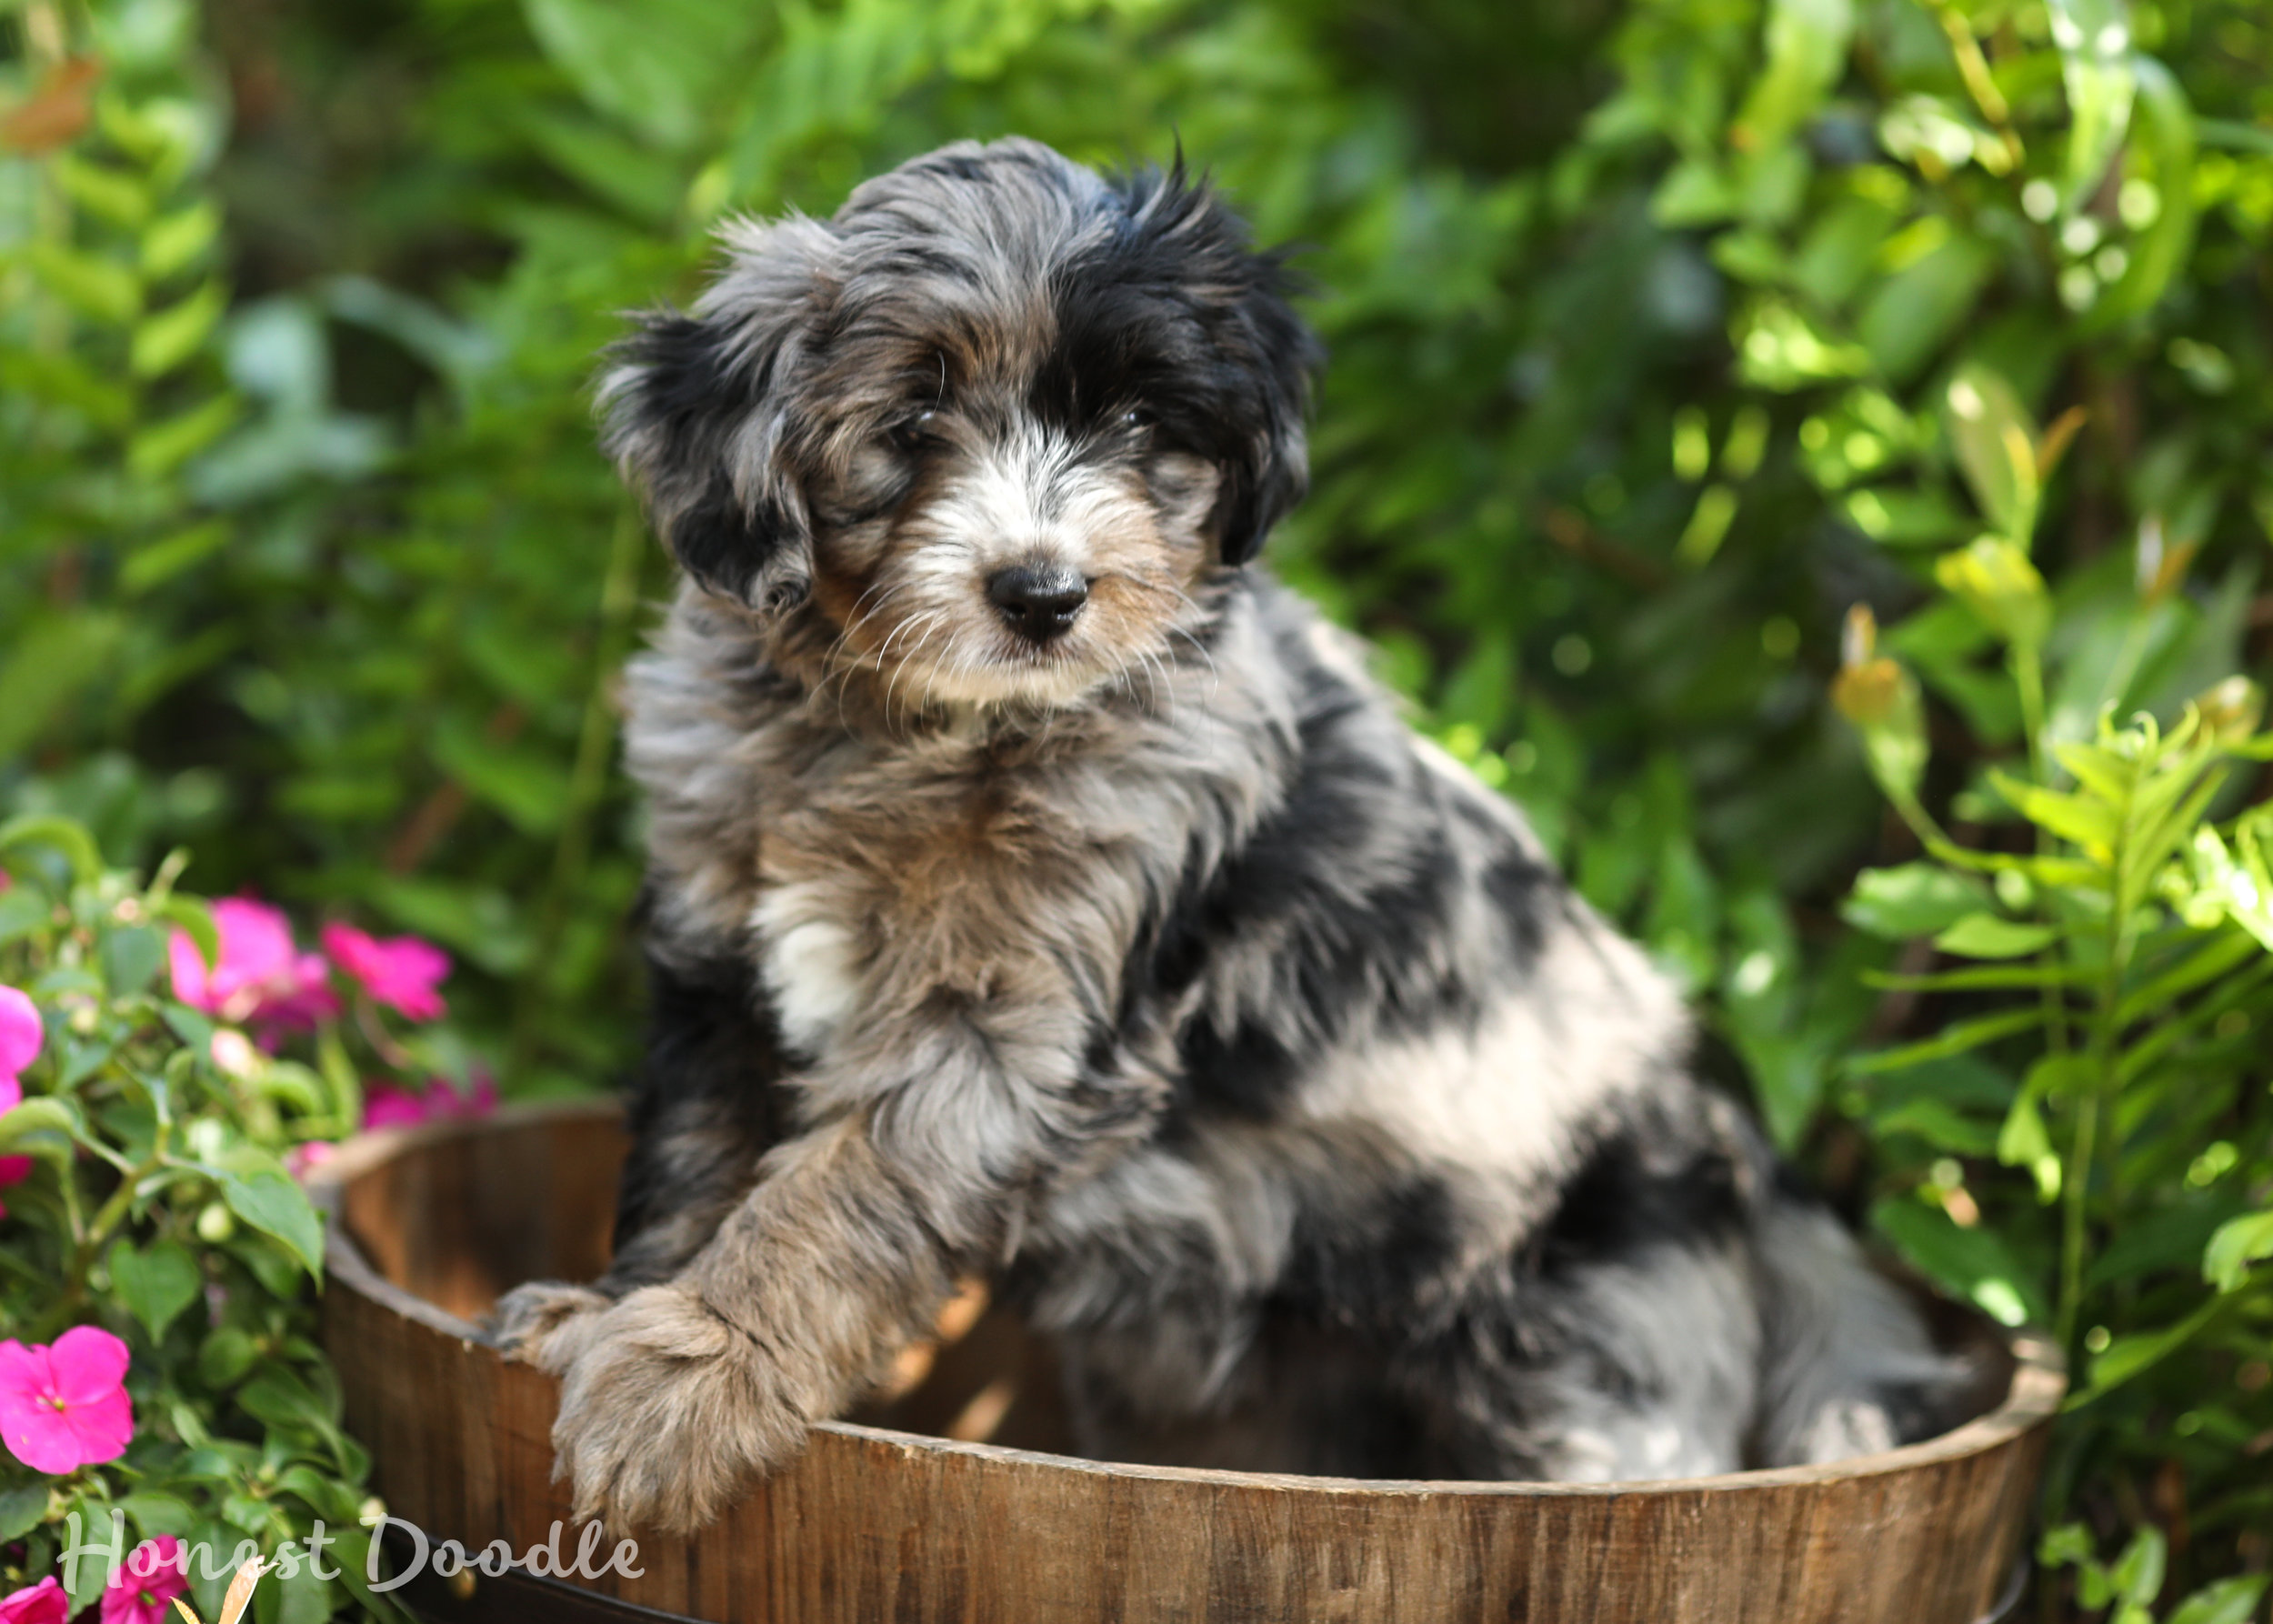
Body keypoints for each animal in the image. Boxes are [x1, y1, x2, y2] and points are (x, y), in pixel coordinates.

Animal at [493, 133, 1955, 1528]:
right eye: (911, 418)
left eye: (1141, 421)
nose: (1045, 594)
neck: (905, 735)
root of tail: (1727, 1129)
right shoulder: (721, 964)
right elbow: (696, 1159)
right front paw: (608, 1316)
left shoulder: (1004, 1026)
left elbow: (833, 1196)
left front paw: (692, 1373)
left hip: (1595, 1363)